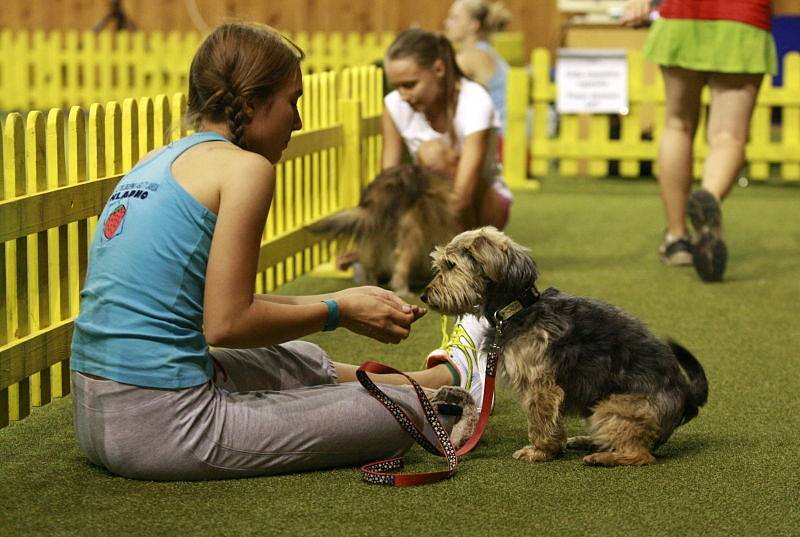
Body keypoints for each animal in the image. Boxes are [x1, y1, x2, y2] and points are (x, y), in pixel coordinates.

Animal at [314, 164, 462, 296]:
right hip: (411, 230)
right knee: (401, 260)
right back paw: (402, 289)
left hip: (373, 233)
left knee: (369, 260)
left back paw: (371, 283)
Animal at [418, 226, 708, 464]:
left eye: (450, 265)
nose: (423, 295)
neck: (519, 308)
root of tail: (686, 394)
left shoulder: (541, 385)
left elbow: (540, 421)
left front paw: (540, 451)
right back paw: (588, 442)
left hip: (610, 408)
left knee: (642, 454)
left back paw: (602, 457)